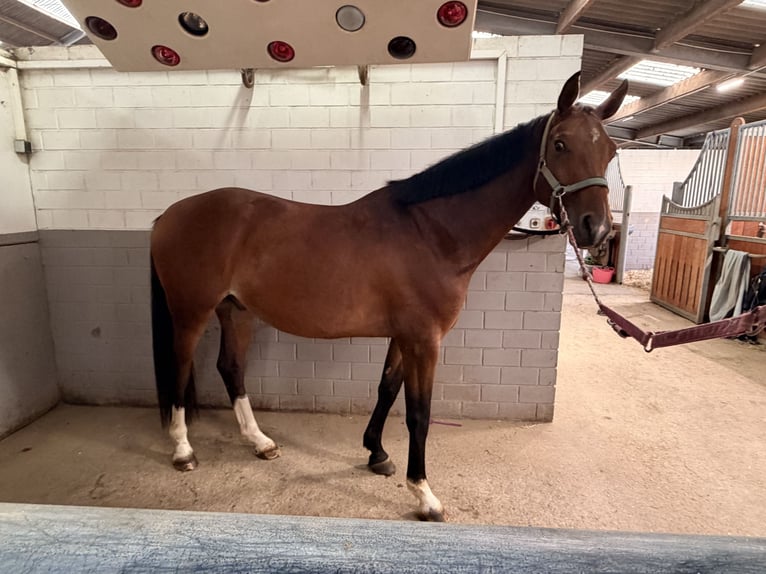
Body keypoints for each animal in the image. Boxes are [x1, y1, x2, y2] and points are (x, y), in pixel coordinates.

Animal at [150, 72, 628, 521]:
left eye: (610, 152)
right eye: (561, 145)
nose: (597, 229)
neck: (430, 233)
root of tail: (169, 214)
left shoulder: (404, 336)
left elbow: (386, 389)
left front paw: (376, 453)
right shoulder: (425, 340)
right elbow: (418, 412)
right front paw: (424, 495)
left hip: (237, 311)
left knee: (231, 368)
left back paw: (261, 442)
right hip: (191, 312)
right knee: (179, 367)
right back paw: (183, 451)